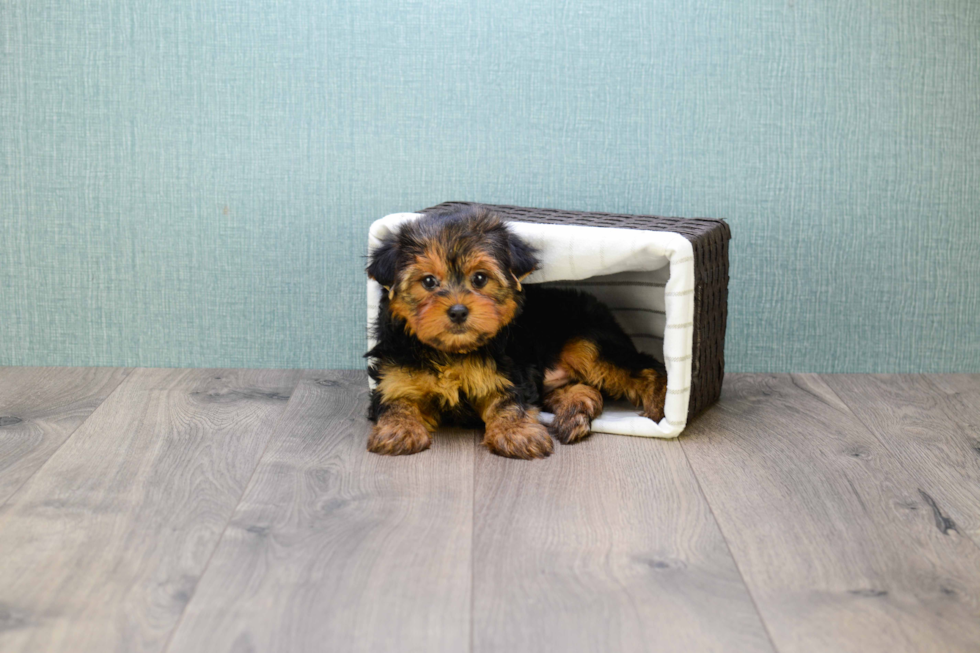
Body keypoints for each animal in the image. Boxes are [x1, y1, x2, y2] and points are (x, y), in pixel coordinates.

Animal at [364, 208, 668, 458]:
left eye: (480, 278)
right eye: (428, 281)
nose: (458, 311)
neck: (452, 352)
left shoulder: (508, 373)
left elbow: (508, 402)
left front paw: (516, 433)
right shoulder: (394, 375)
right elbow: (395, 401)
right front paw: (399, 429)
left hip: (586, 342)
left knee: (646, 366)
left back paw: (658, 409)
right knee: (583, 387)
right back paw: (574, 414)